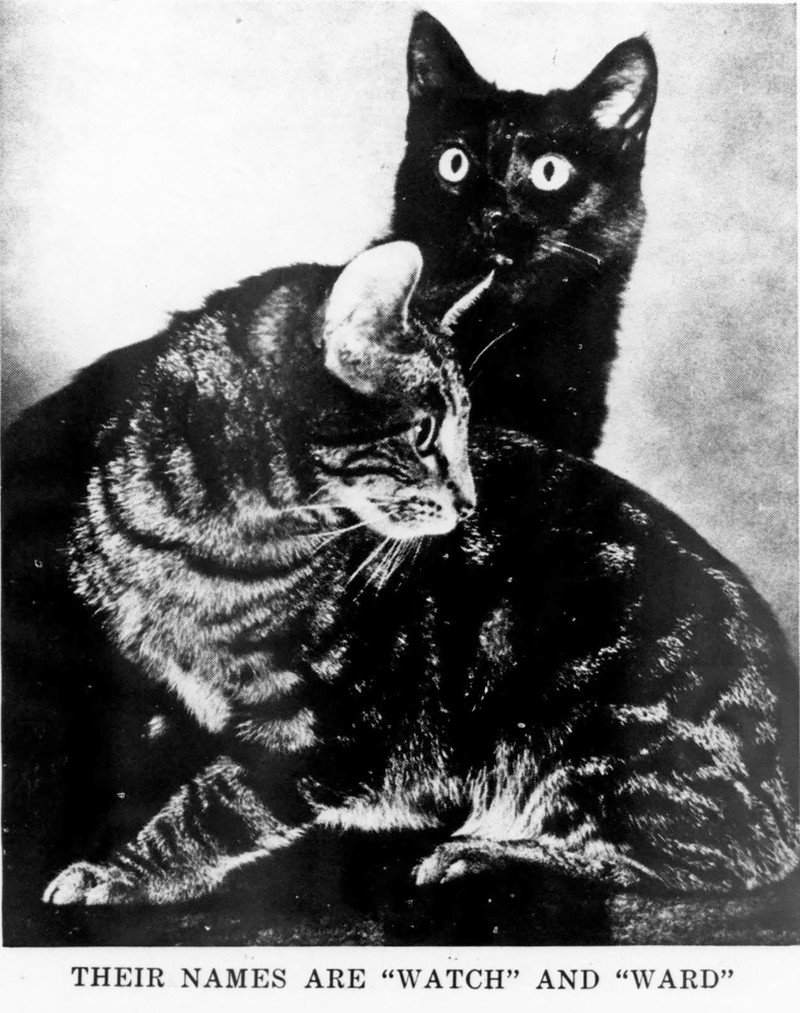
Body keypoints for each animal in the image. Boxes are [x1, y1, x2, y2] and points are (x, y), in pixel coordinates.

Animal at [5, 243, 795, 917]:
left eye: (465, 432)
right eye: (423, 435)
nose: (471, 503)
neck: (207, 539)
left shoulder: (321, 722)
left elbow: (213, 805)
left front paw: (120, 872)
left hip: (584, 714)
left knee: (700, 861)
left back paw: (484, 852)